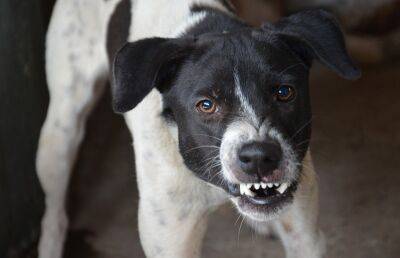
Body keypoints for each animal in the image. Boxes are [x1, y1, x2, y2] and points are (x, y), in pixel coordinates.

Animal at [36, 0, 360, 256]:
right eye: (206, 105)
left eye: (284, 92)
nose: (259, 157)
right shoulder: (171, 240)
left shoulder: (305, 236)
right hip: (61, 129)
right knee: (54, 212)